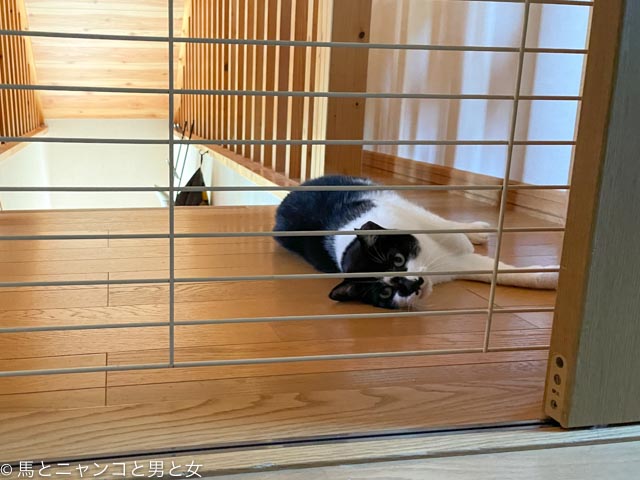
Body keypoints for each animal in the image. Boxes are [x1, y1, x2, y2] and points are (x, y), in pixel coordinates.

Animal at [273, 175, 558, 309]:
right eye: (385, 292)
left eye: (398, 260)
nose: (412, 284)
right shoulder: (455, 267)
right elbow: (501, 272)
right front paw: (551, 278)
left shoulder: (400, 212)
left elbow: (442, 229)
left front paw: (464, 241)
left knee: (443, 220)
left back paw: (476, 231)